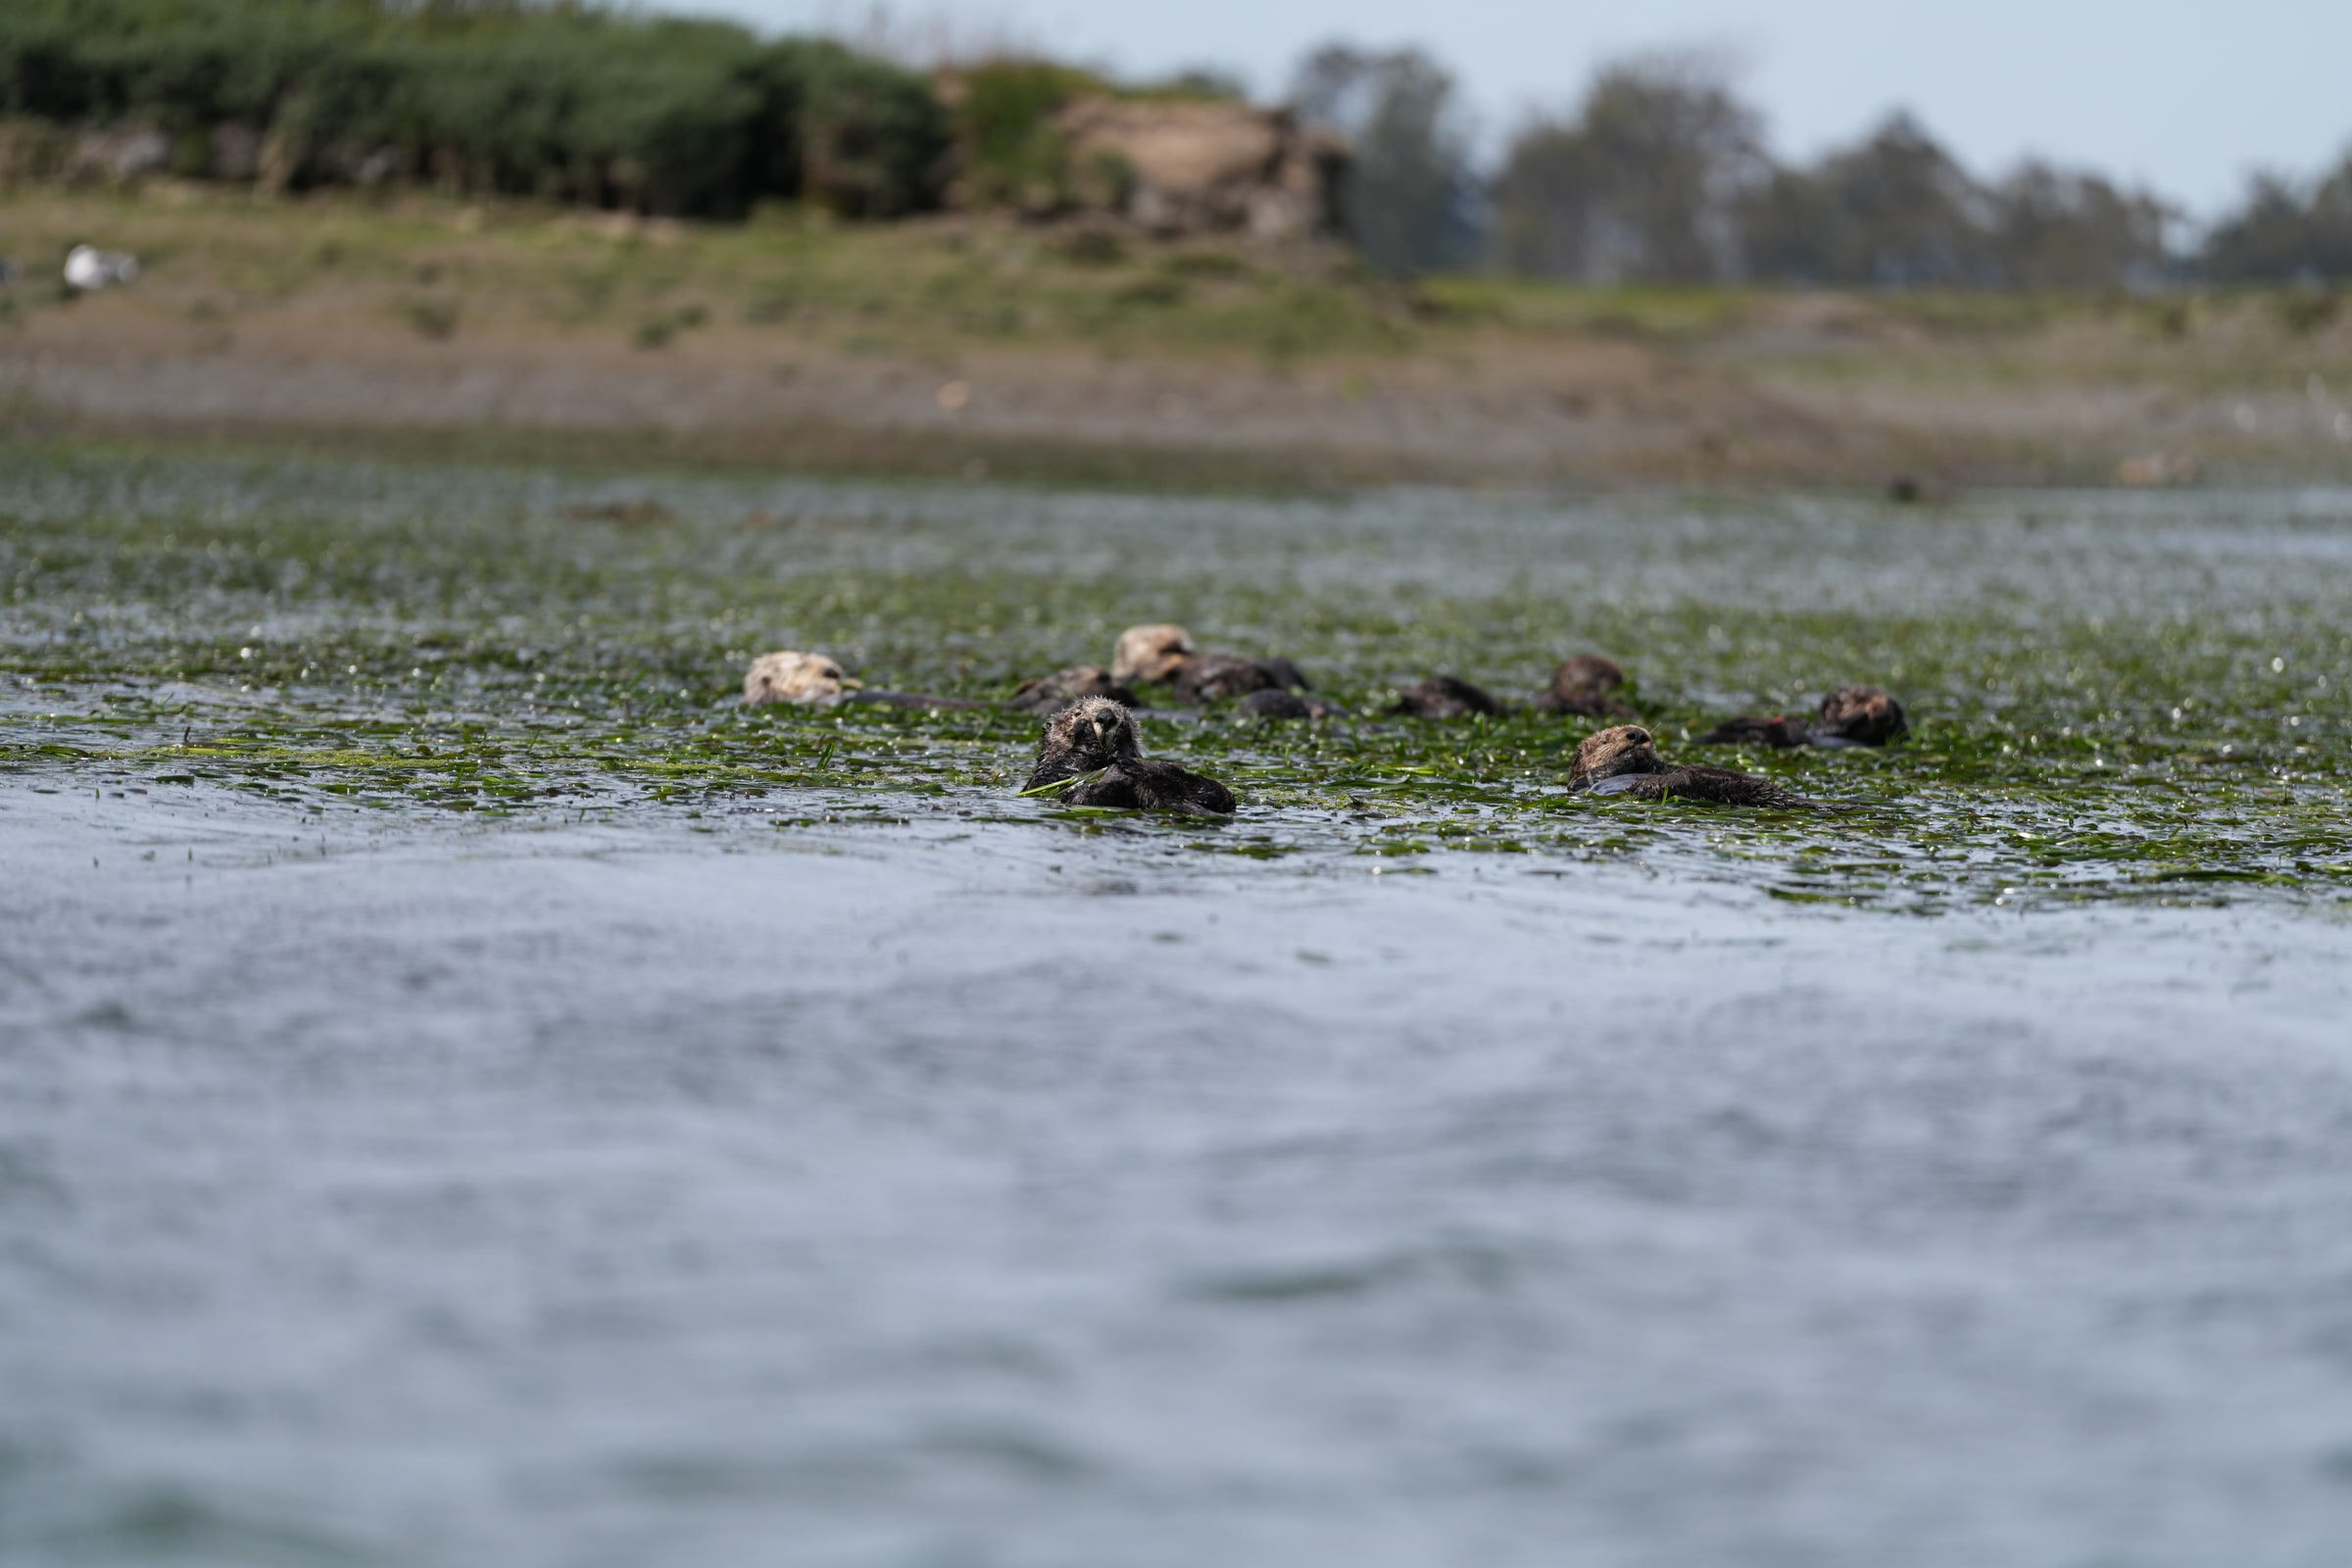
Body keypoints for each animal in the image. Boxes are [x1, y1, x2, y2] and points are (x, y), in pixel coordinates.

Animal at [1022, 696, 1236, 814]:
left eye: (1123, 713)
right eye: (1077, 713)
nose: (1107, 716)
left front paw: (1123, 737)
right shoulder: (1044, 777)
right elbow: (1052, 776)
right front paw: (1085, 730)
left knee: (1219, 793)